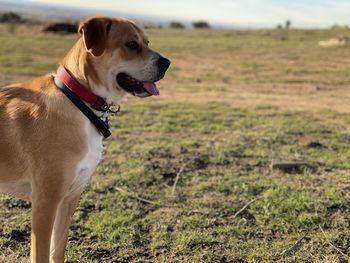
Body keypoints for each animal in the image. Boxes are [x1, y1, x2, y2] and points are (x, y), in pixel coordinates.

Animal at [0, 15, 171, 262]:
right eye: (131, 44)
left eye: (147, 42)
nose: (167, 63)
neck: (79, 100)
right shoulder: (45, 202)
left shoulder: (69, 198)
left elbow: (57, 250)